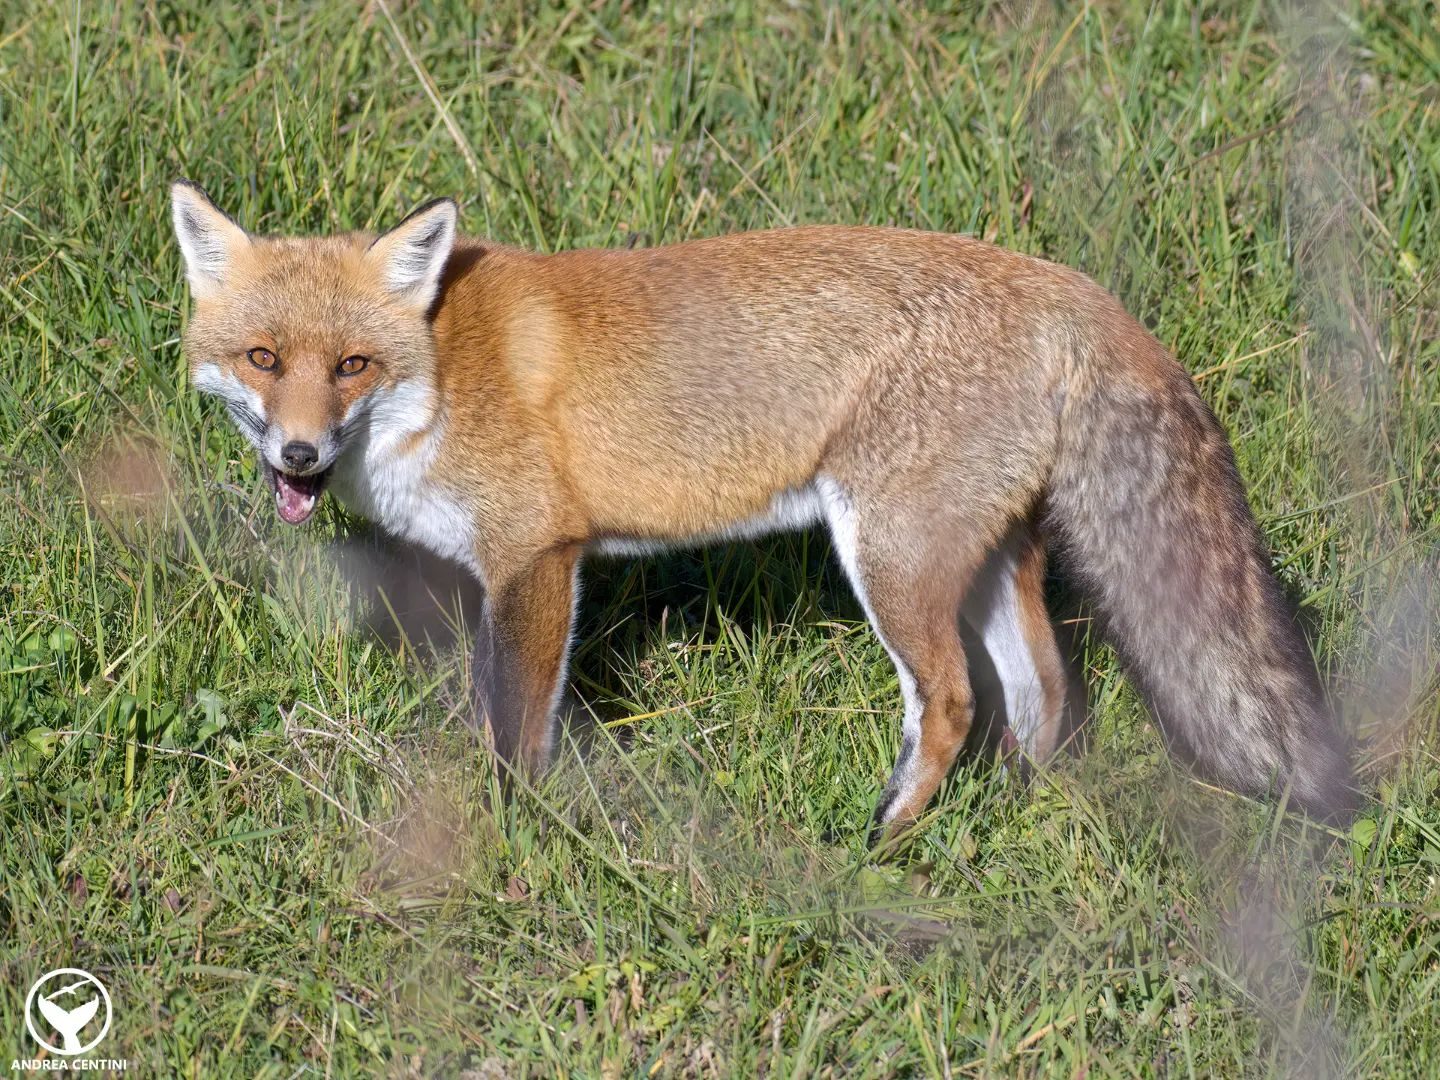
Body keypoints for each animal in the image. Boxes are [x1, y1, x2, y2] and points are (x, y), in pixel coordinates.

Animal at [169, 179, 1356, 842]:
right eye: (263, 359)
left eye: (352, 366)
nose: (300, 453)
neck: (446, 372)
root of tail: (1065, 285)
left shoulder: (538, 560)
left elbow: (517, 735)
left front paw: (515, 843)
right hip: (979, 561)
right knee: (1045, 693)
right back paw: (1017, 813)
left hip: (890, 558)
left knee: (955, 703)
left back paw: (886, 840)